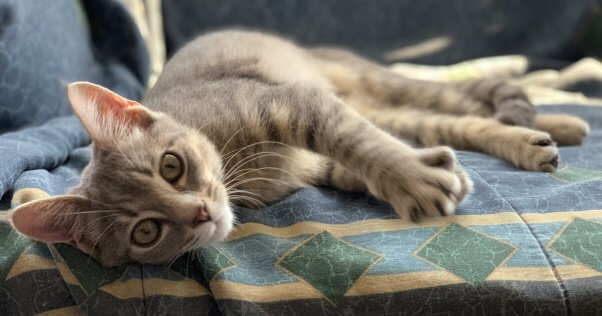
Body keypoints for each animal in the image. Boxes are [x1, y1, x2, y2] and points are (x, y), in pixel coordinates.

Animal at [10, 29, 592, 266]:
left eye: (170, 166)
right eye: (146, 232)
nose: (200, 214)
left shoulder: (295, 101)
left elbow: (360, 141)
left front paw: (412, 178)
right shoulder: (325, 160)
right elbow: (363, 156)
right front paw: (411, 175)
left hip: (374, 82)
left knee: (465, 99)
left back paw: (560, 120)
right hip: (391, 108)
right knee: (450, 121)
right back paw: (540, 137)